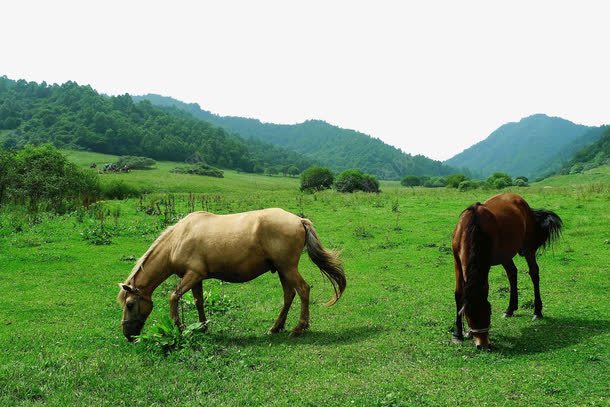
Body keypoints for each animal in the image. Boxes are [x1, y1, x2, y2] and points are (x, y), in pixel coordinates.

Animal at [116, 209, 344, 342]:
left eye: (130, 304)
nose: (128, 334)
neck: (178, 239)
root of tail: (299, 220)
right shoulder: (196, 278)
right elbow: (198, 301)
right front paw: (203, 327)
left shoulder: (193, 275)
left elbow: (174, 297)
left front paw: (180, 328)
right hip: (282, 269)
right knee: (289, 295)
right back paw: (276, 327)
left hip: (287, 267)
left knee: (303, 290)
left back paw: (298, 328)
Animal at [446, 194, 560, 350]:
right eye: (469, 316)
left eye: (489, 312)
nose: (483, 345)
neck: (473, 226)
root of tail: (522, 202)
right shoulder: (457, 261)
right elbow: (459, 295)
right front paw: (459, 334)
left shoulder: (485, 263)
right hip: (505, 255)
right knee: (512, 273)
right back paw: (510, 309)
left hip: (528, 249)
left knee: (534, 273)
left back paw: (537, 311)